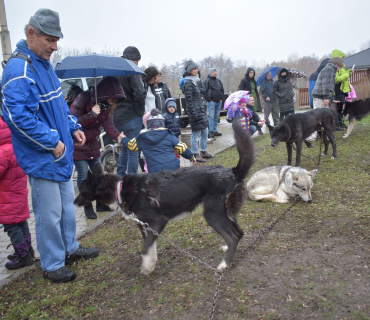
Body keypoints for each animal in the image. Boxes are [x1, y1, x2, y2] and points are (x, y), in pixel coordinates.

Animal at [75, 120, 254, 276]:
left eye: (82, 190)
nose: (74, 202)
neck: (120, 188)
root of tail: (232, 172)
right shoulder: (146, 226)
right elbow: (150, 247)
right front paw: (151, 263)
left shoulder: (158, 221)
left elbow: (145, 249)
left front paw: (146, 267)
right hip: (227, 214)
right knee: (239, 233)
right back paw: (228, 250)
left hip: (212, 215)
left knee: (233, 237)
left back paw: (224, 263)